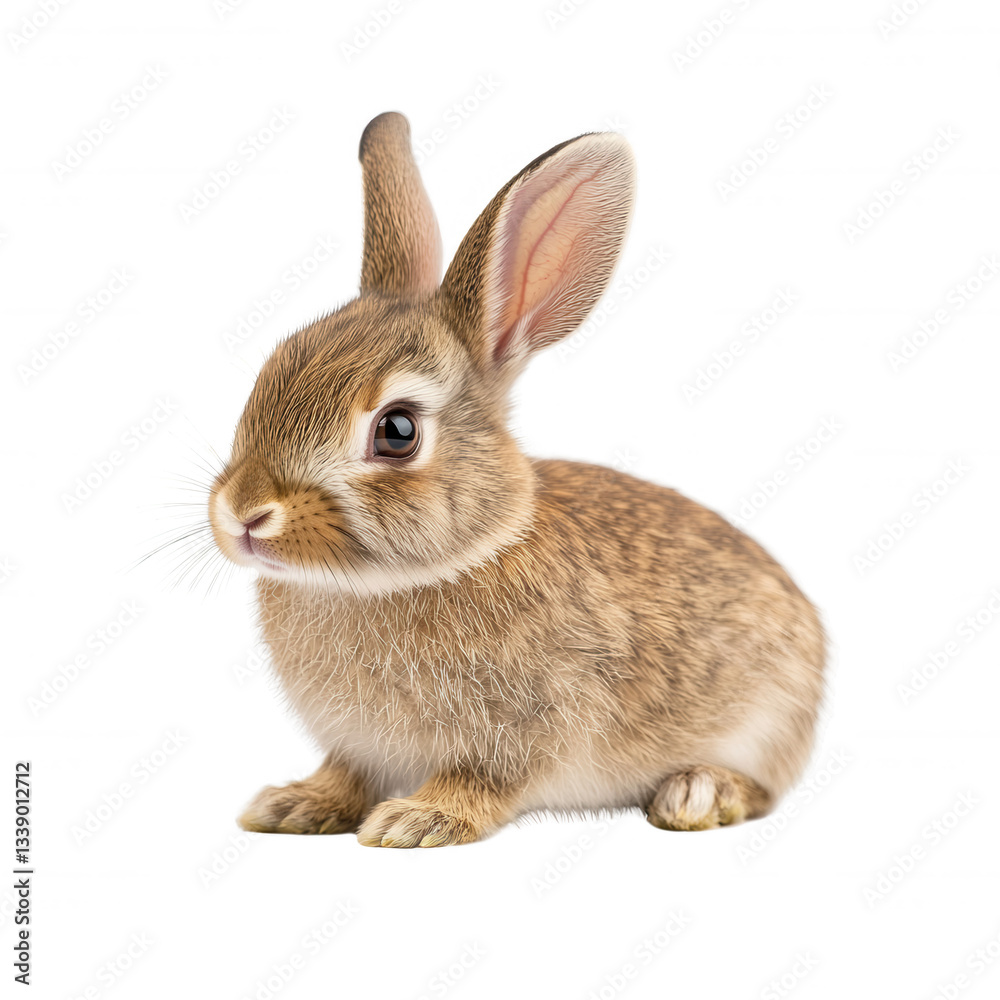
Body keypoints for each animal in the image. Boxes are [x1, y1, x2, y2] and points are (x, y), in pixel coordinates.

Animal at [208, 111, 826, 848]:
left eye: (397, 430)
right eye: (266, 373)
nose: (244, 512)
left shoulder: (528, 727)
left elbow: (483, 780)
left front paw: (419, 819)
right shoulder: (354, 746)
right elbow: (345, 775)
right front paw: (295, 804)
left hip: (768, 715)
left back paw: (697, 793)